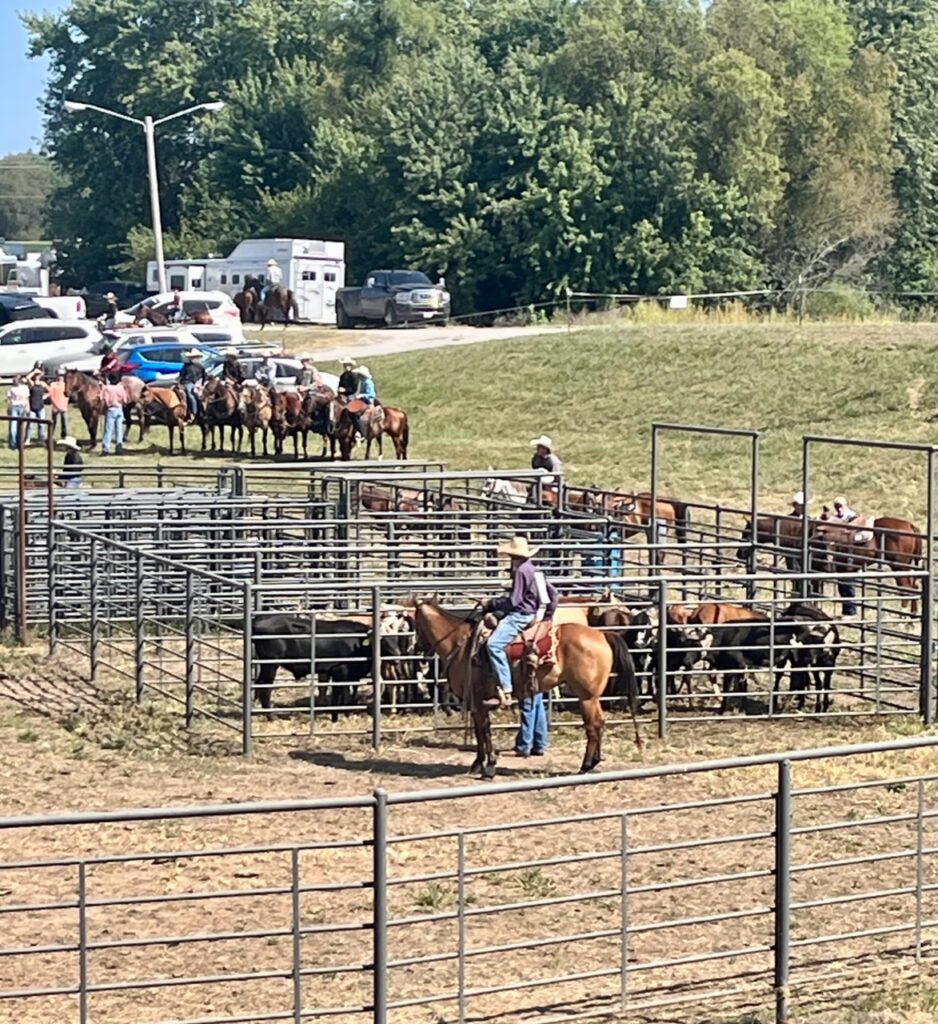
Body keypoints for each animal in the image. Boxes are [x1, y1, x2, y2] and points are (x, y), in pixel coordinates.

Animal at [411, 593, 638, 774]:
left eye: (415, 623)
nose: (417, 648)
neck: (461, 643)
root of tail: (602, 634)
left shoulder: (478, 701)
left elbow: (484, 731)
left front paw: (489, 765)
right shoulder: (478, 703)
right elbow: (480, 732)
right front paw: (478, 763)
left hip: (587, 697)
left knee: (593, 726)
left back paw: (586, 765)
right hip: (592, 697)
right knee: (599, 724)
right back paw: (593, 762)